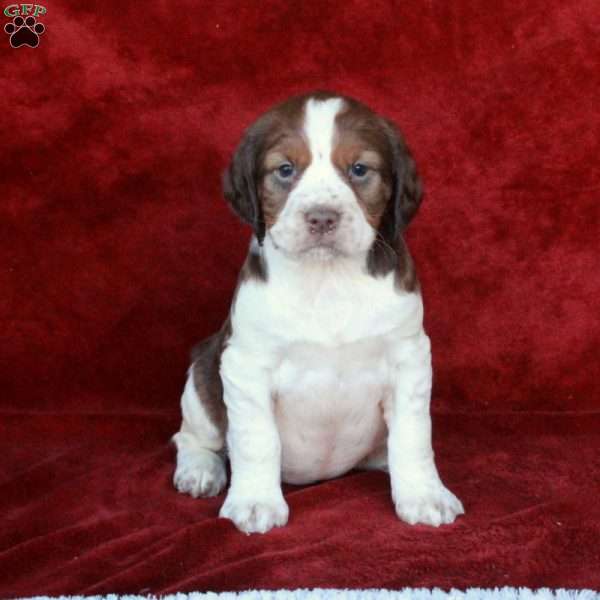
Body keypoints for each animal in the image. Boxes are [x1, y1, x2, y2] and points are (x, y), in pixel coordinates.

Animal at [173, 92, 464, 536]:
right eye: (285, 170)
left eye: (359, 169)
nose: (323, 218)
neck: (328, 278)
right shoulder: (245, 364)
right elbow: (256, 439)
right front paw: (256, 502)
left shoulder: (409, 357)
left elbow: (413, 436)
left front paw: (424, 495)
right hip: (203, 372)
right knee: (193, 436)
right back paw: (200, 470)